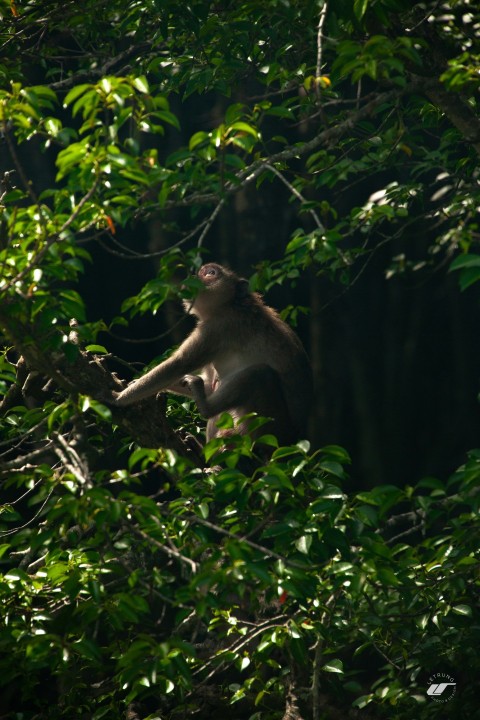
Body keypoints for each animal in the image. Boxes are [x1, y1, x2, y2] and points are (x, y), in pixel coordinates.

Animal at [113, 264, 316, 444]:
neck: (231, 304)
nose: (193, 277)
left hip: (267, 426)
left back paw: (206, 409)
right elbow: (209, 386)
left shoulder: (218, 327)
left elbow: (180, 364)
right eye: (199, 271)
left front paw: (117, 398)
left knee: (260, 373)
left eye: (211, 273)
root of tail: (292, 438)